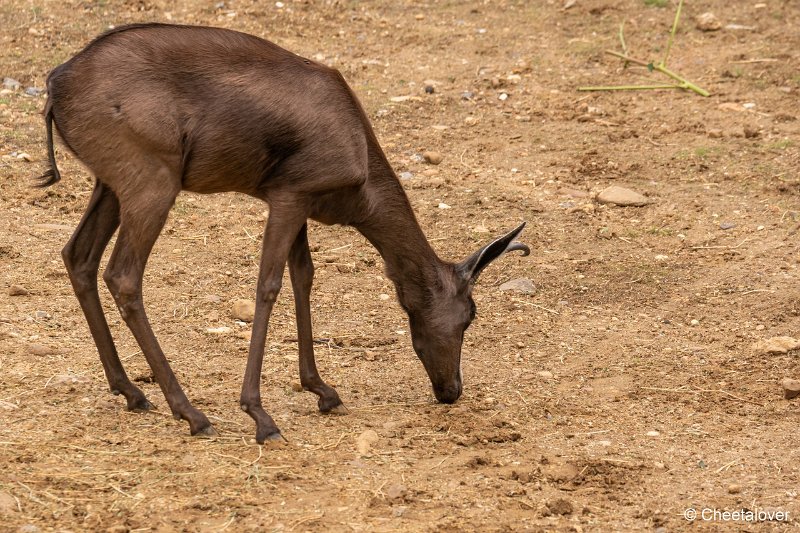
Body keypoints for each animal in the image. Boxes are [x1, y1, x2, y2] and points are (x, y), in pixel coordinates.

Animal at [42, 22, 532, 442]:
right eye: (470, 316)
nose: (451, 390)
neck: (357, 151)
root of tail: (57, 79)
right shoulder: (287, 199)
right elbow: (269, 286)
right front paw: (260, 415)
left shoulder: (299, 207)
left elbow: (304, 278)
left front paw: (322, 390)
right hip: (153, 189)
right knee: (123, 276)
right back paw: (192, 413)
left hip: (109, 188)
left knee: (78, 257)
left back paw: (132, 391)